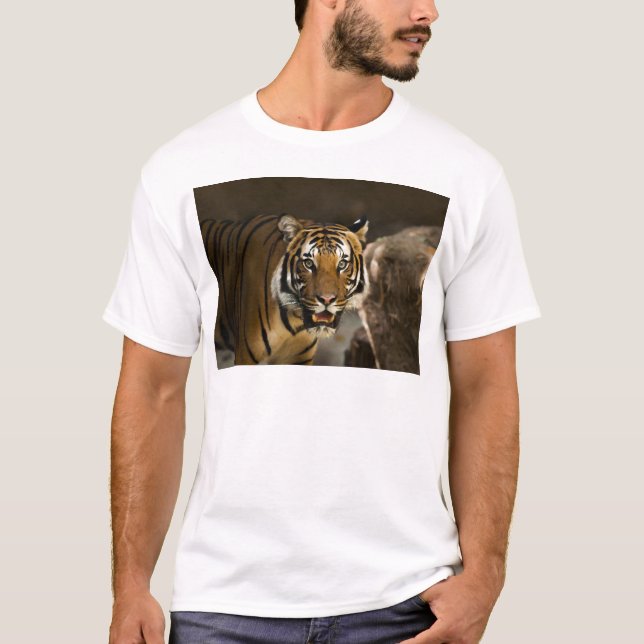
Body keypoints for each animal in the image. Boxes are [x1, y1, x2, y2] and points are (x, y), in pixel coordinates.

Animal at [199, 213, 369, 366]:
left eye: (342, 264)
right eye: (308, 263)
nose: (327, 299)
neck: (295, 321)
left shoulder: (299, 359)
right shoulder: (245, 357)